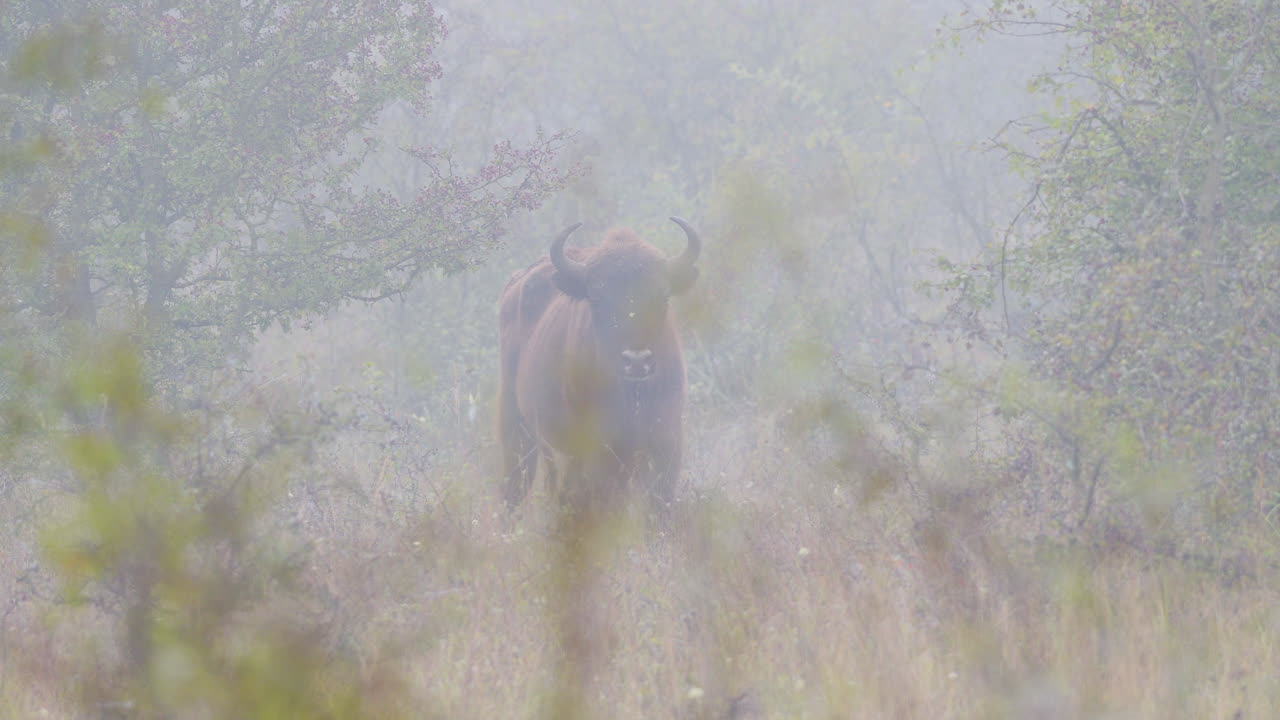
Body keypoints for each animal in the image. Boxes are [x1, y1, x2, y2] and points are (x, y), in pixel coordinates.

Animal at [497, 218, 701, 512]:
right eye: (596, 298)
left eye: (663, 296)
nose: (636, 361)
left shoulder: (666, 441)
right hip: (516, 427)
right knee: (514, 488)